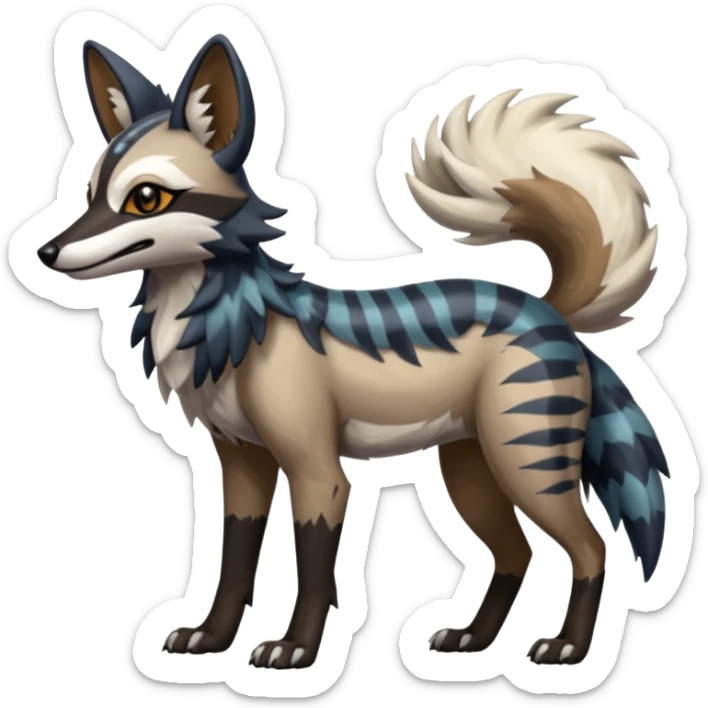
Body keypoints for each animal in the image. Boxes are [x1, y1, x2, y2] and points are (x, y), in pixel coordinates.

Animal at [31, 35, 667, 670]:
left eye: (145, 198)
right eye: (88, 195)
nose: (44, 252)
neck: (239, 328)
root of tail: (546, 308)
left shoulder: (319, 473)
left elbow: (313, 571)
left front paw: (295, 648)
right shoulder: (241, 465)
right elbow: (233, 564)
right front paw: (210, 638)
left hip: (527, 463)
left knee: (590, 549)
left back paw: (569, 647)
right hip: (471, 471)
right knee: (516, 555)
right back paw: (472, 639)